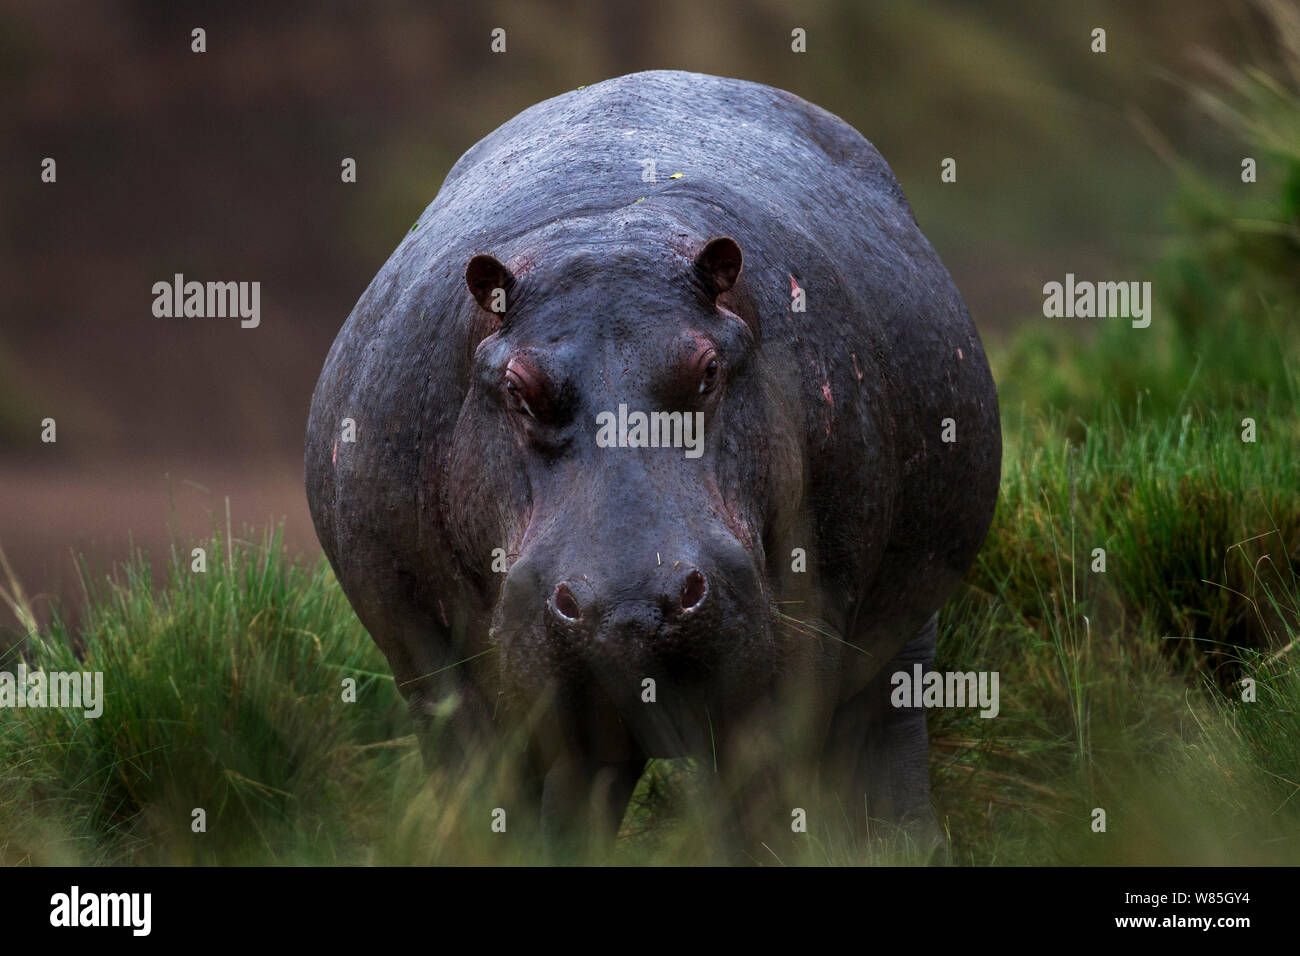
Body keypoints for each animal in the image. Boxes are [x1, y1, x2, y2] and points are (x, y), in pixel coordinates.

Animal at [306, 69, 1003, 858]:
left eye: (707, 370)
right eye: (517, 388)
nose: (632, 603)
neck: (603, 236)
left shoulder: (801, 636)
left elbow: (763, 799)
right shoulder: (433, 662)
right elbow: (493, 799)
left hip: (908, 611)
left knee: (888, 732)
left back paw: (907, 845)